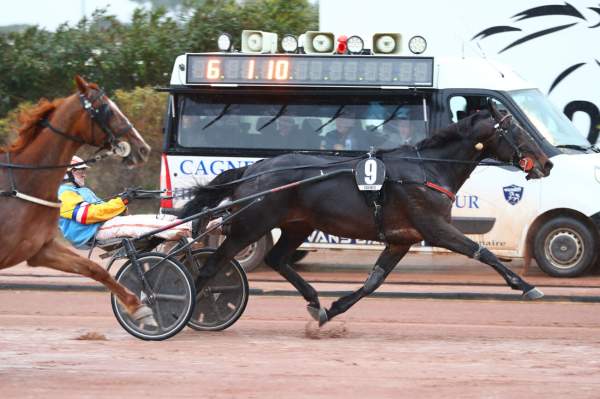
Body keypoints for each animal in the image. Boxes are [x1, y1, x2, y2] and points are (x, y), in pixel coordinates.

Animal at [0, 76, 157, 326]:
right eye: (106, 109)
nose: (142, 148)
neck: (21, 183)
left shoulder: (40, 250)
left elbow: (94, 268)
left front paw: (138, 307)